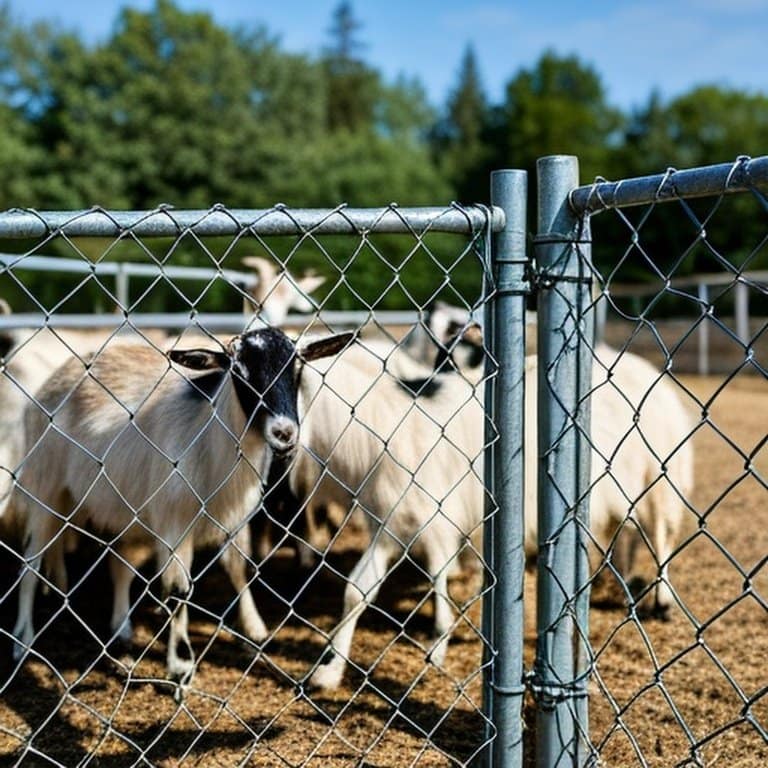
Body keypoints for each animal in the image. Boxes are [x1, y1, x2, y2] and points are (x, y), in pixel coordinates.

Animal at [9, 327, 352, 692]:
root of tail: (58, 377)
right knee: (30, 563)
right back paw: (23, 641)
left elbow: (239, 567)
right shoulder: (174, 523)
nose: (284, 433)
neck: (207, 439)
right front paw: (180, 666)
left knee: (119, 564)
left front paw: (255, 628)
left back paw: (121, 627)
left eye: (297, 368)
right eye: (238, 371)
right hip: (45, 486)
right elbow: (178, 590)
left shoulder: (230, 518)